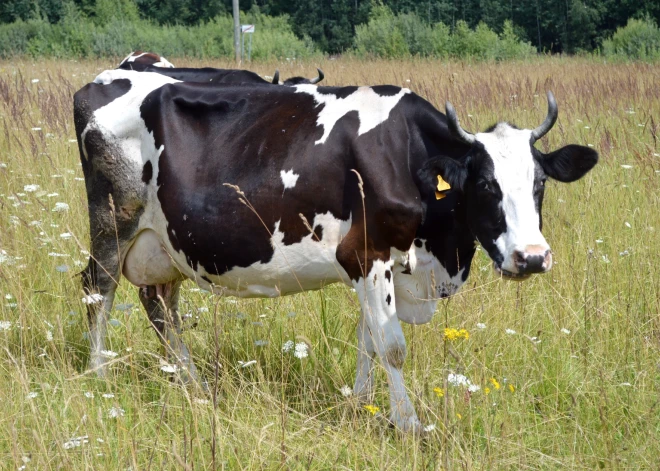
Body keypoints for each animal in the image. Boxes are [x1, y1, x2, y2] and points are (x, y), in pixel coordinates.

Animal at [73, 68, 600, 434]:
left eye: (539, 183)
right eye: (487, 186)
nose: (532, 257)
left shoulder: (383, 266)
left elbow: (369, 338)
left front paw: (361, 406)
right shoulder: (365, 252)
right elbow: (392, 346)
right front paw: (409, 425)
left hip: (167, 245)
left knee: (161, 305)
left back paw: (195, 386)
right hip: (113, 222)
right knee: (98, 290)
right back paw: (98, 377)